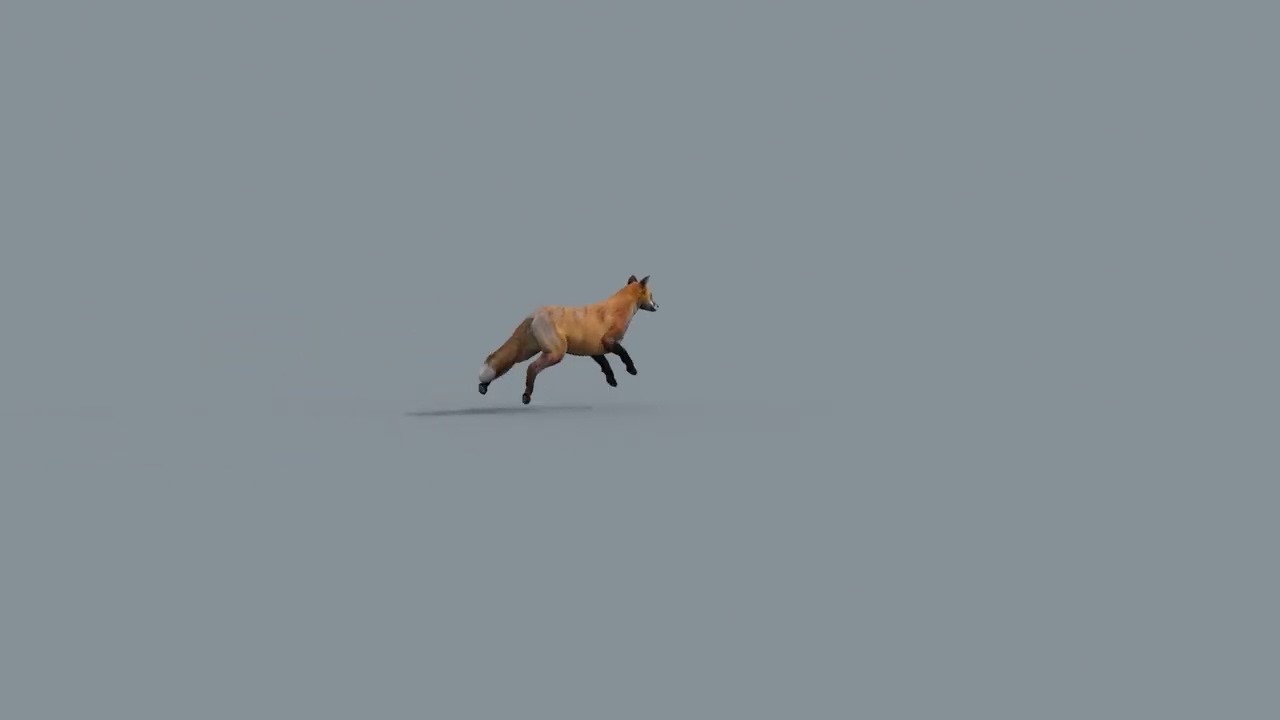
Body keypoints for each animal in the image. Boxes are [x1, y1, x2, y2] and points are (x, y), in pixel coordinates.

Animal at [478, 274, 660, 404]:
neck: (619, 308)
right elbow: (624, 354)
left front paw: (612, 380)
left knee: (502, 362)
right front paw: (632, 370)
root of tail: (535, 313)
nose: (658, 306)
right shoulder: (608, 341)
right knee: (531, 368)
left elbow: (606, 365)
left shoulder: (594, 349)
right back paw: (526, 395)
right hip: (556, 353)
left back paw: (484, 386)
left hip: (525, 352)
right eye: (651, 295)